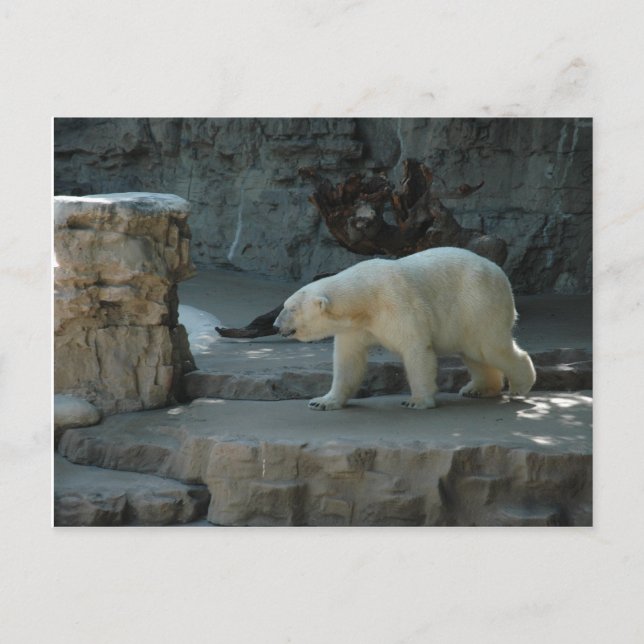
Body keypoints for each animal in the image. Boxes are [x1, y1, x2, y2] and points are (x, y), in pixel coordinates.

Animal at [274, 246, 536, 411]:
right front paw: (322, 401)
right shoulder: (355, 328)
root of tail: (500, 273)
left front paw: (417, 401)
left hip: (478, 302)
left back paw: (520, 386)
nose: (276, 325)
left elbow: (416, 349)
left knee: (489, 347)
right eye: (285, 305)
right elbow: (348, 360)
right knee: (474, 352)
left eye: (292, 308)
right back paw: (478, 389)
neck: (365, 299)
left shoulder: (396, 304)